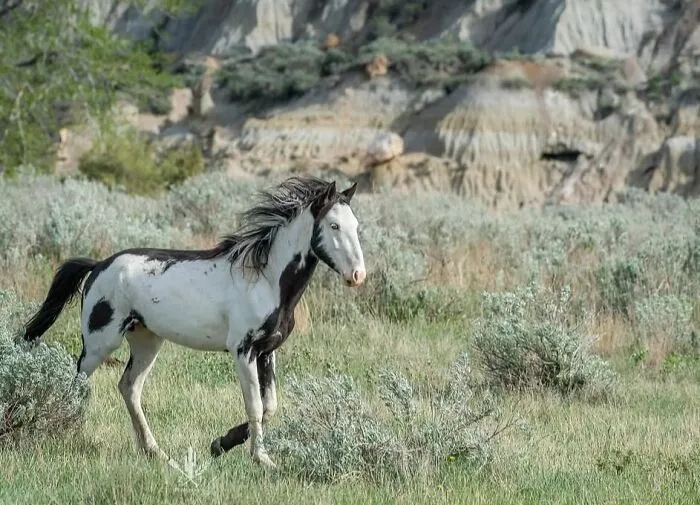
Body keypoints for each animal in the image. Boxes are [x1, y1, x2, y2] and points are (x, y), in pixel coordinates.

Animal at [22, 176, 366, 468]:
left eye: (356, 226)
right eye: (334, 225)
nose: (358, 275)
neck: (265, 280)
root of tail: (97, 266)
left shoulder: (267, 351)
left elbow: (270, 406)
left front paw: (220, 444)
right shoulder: (243, 350)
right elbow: (255, 405)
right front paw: (261, 459)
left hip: (146, 341)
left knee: (129, 387)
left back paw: (155, 452)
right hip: (99, 343)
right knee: (76, 383)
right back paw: (66, 431)